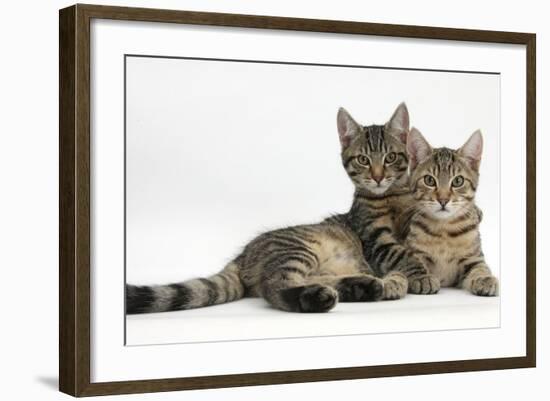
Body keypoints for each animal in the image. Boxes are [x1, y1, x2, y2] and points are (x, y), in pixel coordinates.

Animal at [127, 103, 412, 312]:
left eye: (390, 157)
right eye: (364, 160)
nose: (377, 177)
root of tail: (242, 257)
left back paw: (362, 286)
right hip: (297, 250)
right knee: (274, 285)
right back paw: (320, 297)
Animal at [398, 126, 502, 296]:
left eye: (458, 181)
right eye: (429, 180)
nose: (443, 200)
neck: (444, 231)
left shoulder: (473, 258)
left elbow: (480, 268)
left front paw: (484, 278)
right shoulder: (414, 252)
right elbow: (413, 262)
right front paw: (422, 277)